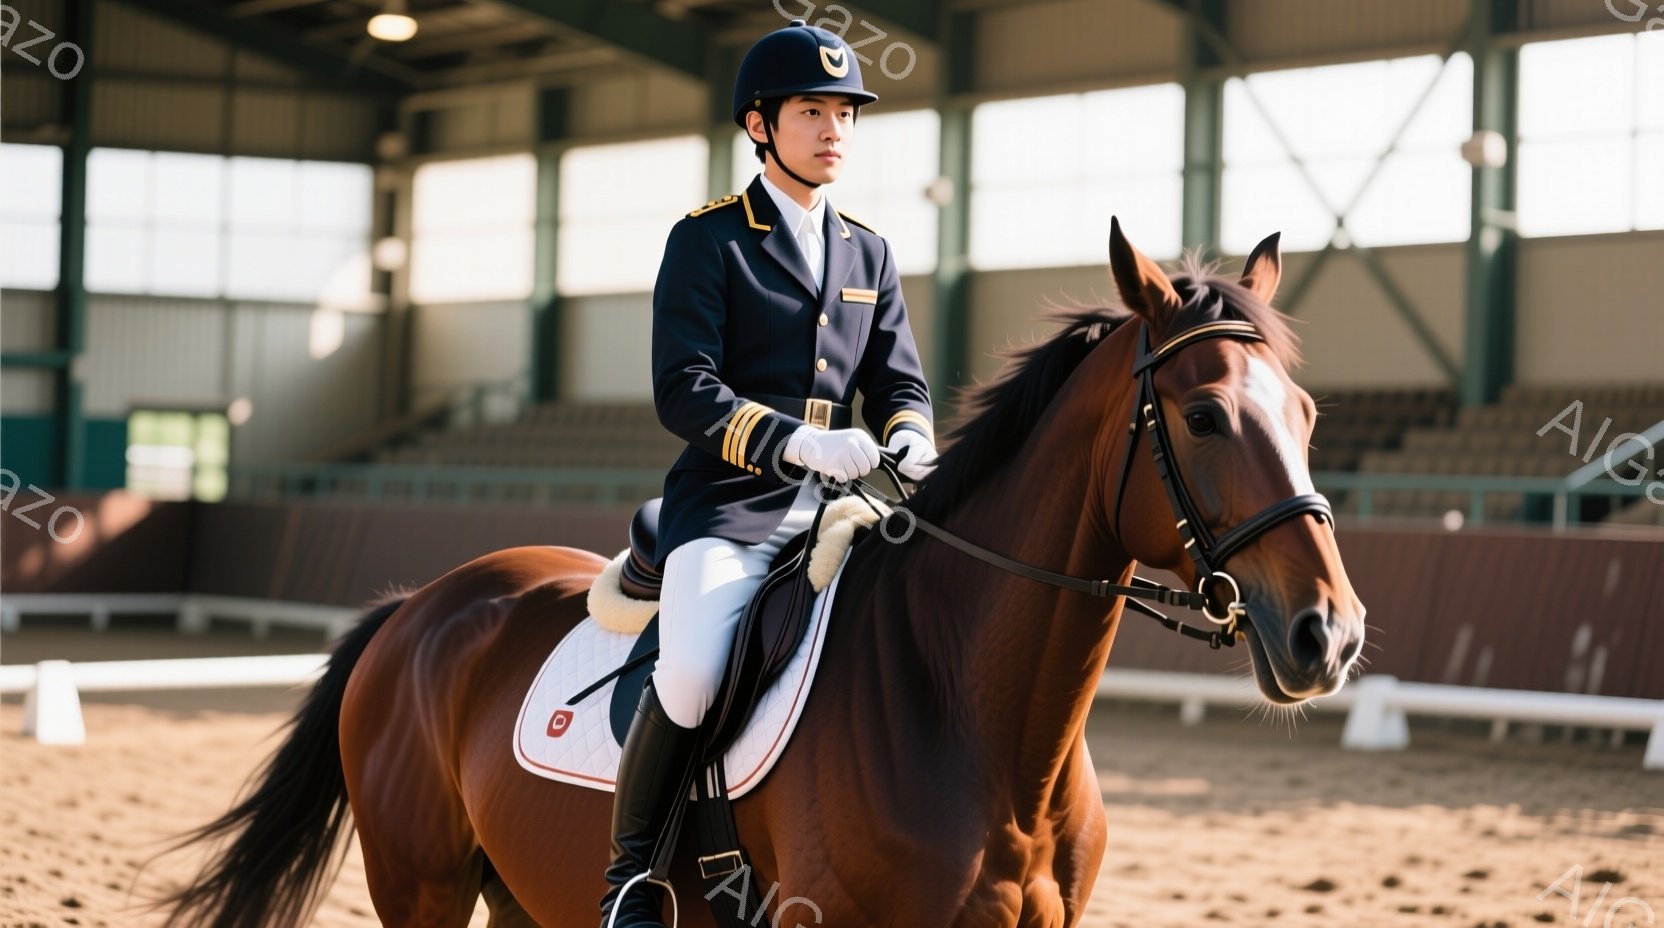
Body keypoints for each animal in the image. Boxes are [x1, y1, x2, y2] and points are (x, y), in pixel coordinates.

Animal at [149, 219, 1365, 928]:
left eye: (1307, 414)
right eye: (1203, 417)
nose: (1330, 635)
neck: (977, 722)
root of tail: (423, 606)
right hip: (422, 885)